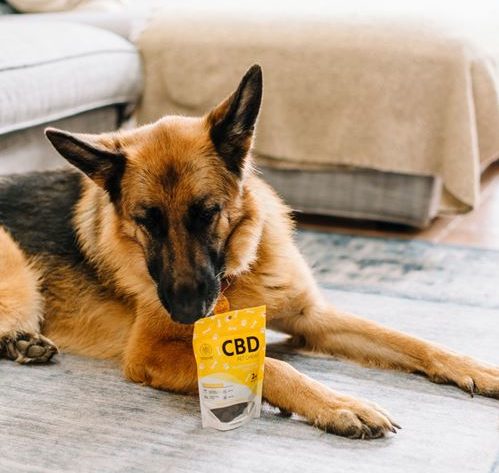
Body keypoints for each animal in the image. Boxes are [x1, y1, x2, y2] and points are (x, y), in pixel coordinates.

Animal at [0, 66, 498, 438]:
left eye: (208, 213)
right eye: (147, 222)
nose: (187, 311)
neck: (238, 272)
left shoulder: (312, 317)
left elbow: (409, 340)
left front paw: (475, 367)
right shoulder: (152, 354)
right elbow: (274, 366)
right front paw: (337, 403)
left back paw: (23, 343)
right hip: (18, 269)